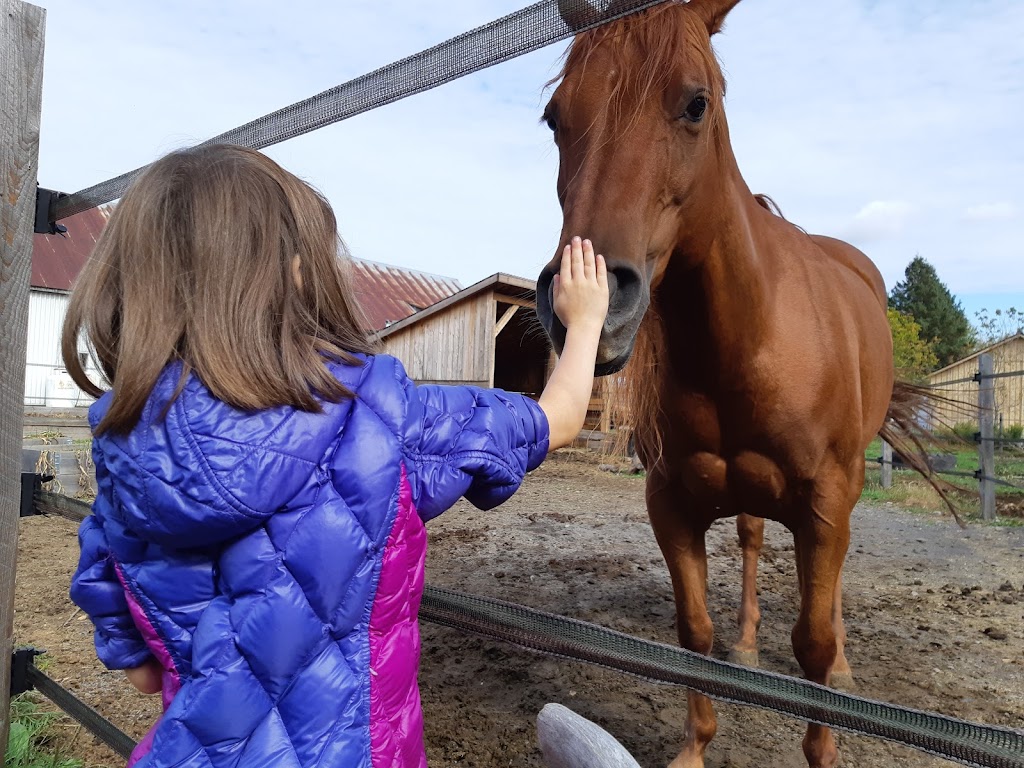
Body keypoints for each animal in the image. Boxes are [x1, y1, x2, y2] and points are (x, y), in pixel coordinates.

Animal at [532, 1, 933, 768]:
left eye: (697, 103)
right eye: (554, 116)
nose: (584, 304)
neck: (752, 336)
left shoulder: (824, 503)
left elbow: (812, 642)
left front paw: (825, 743)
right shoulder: (671, 503)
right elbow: (694, 632)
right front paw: (696, 745)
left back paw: (843, 667)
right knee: (749, 540)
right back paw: (748, 646)